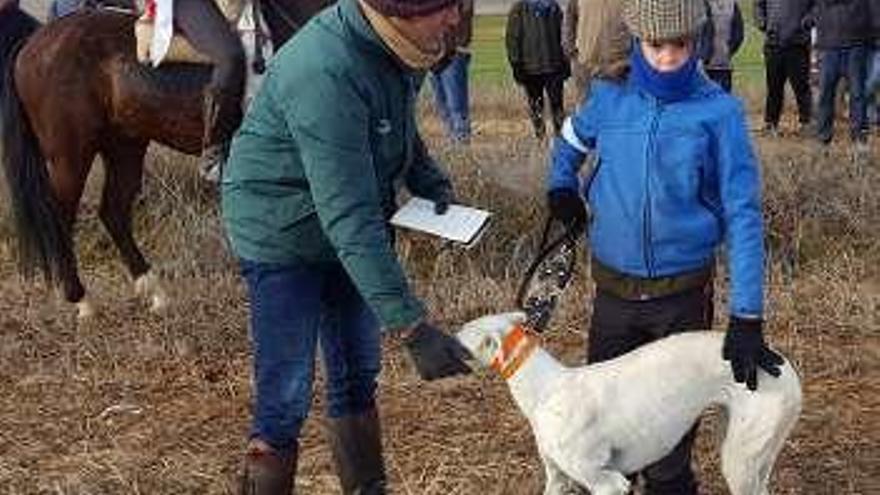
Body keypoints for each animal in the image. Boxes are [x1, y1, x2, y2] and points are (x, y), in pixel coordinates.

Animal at [0, 0, 330, 318]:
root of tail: (34, 42)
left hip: (125, 146)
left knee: (114, 212)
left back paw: (155, 292)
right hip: (70, 155)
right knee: (62, 218)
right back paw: (82, 300)